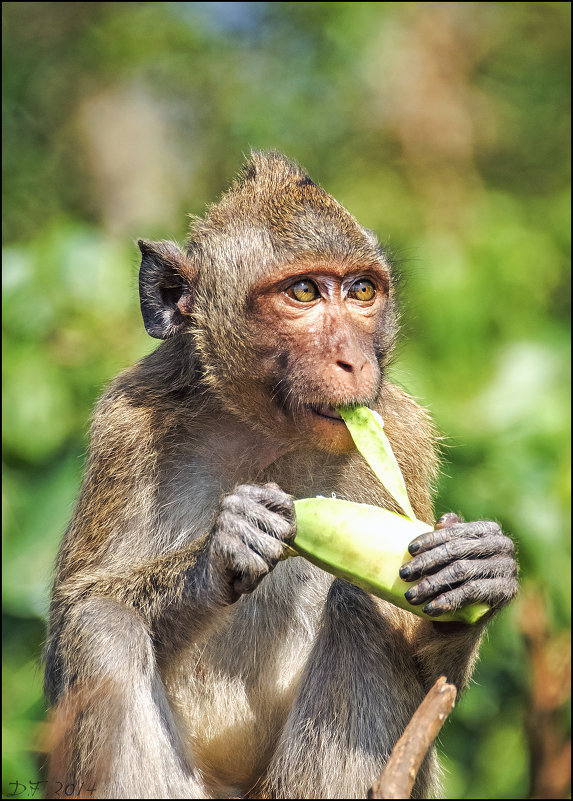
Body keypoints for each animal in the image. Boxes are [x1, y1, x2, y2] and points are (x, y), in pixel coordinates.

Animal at [43, 152, 520, 800]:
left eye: (362, 290)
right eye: (303, 292)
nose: (354, 359)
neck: (264, 430)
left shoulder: (402, 432)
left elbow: (431, 680)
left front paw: (477, 570)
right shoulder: (126, 427)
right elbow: (77, 612)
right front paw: (220, 553)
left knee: (357, 605)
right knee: (101, 628)